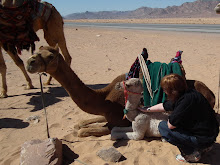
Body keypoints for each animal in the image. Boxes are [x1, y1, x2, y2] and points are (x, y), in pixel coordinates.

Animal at [25, 44, 215, 137]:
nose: (30, 62)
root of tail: (212, 95)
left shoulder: (117, 121)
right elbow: (82, 123)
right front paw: (81, 123)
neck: (104, 99)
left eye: (50, 56)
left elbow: (82, 131)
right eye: (37, 50)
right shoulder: (108, 113)